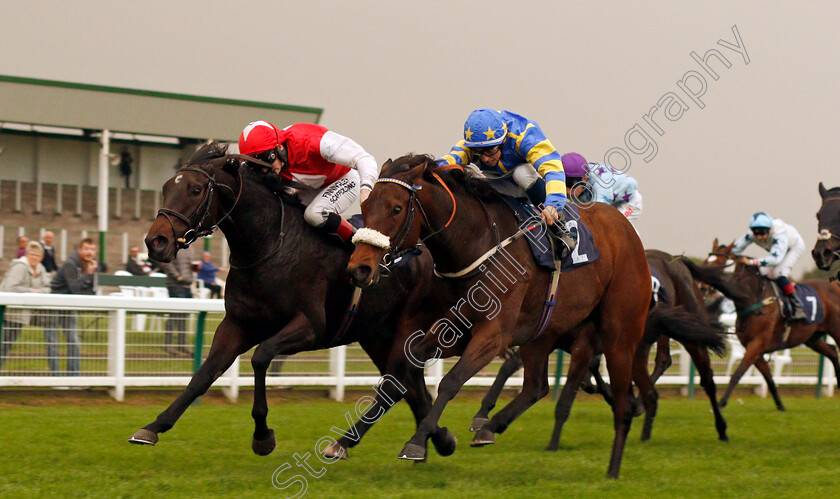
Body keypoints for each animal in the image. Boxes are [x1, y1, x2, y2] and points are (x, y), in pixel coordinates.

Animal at [125, 143, 460, 458]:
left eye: (195, 189)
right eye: (166, 187)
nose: (156, 242)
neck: (269, 246)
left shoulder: (310, 327)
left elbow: (261, 357)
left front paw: (262, 436)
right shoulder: (237, 324)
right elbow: (204, 374)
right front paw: (153, 426)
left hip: (407, 329)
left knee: (399, 384)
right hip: (377, 335)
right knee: (409, 387)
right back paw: (439, 440)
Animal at [344, 154, 652, 478]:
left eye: (396, 208)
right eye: (366, 205)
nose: (359, 268)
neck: (474, 246)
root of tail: (626, 229)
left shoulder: (493, 335)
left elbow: (450, 382)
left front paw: (416, 442)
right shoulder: (447, 329)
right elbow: (400, 373)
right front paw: (344, 441)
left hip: (619, 336)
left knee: (621, 403)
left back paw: (613, 469)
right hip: (542, 333)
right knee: (536, 387)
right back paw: (488, 426)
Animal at [466, 250, 728, 446]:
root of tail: (678, 261)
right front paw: (482, 413)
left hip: (689, 330)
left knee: (704, 378)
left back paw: (721, 428)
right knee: (659, 370)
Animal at [684, 244, 840, 412]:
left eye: (718, 262)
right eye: (706, 261)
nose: (700, 287)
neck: (752, 300)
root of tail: (835, 286)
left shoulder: (757, 345)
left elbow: (737, 374)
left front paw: (720, 404)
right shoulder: (754, 348)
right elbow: (769, 378)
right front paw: (780, 406)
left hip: (835, 331)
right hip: (811, 338)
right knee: (832, 351)